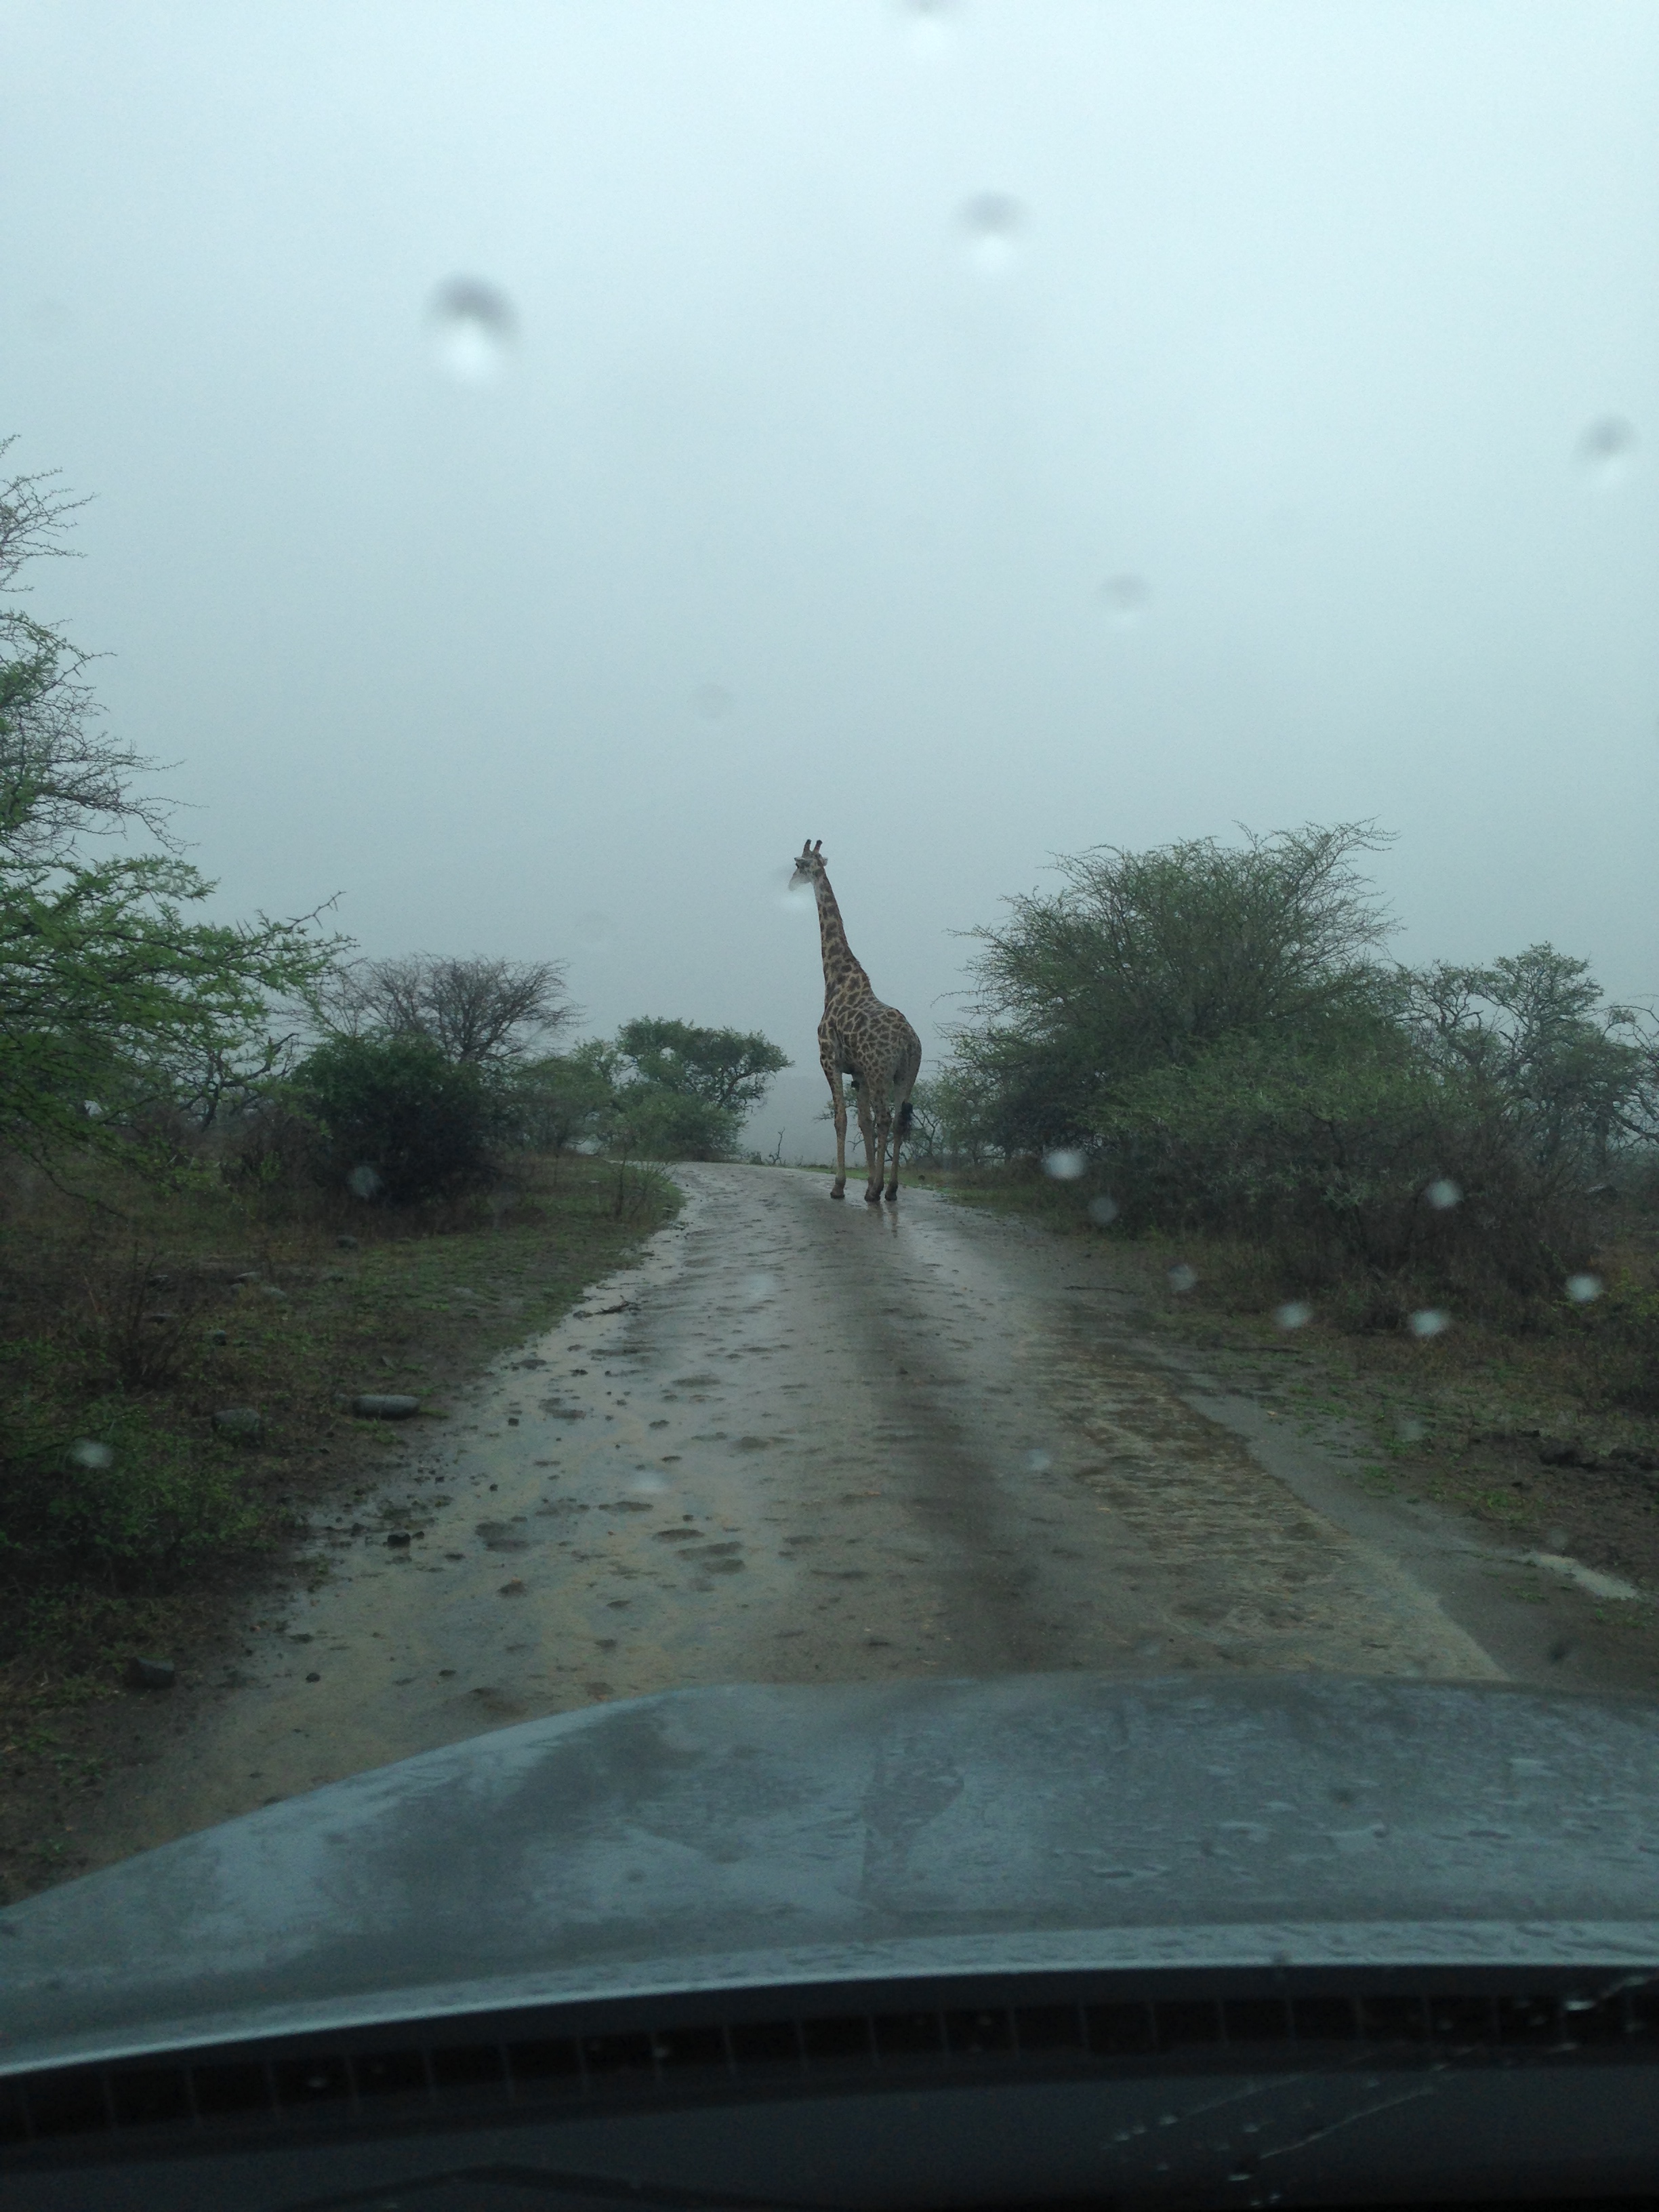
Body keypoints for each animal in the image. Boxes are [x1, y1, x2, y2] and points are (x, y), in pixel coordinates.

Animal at [787, 832, 924, 1212]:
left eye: (799, 866)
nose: (789, 885)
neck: (835, 979)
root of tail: (909, 1042)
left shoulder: (828, 1058)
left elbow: (841, 1119)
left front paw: (840, 1186)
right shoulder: (858, 1073)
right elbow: (861, 1121)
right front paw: (865, 1183)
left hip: (882, 1071)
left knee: (885, 1119)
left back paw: (877, 1191)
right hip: (906, 1074)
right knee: (898, 1122)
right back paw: (889, 1189)